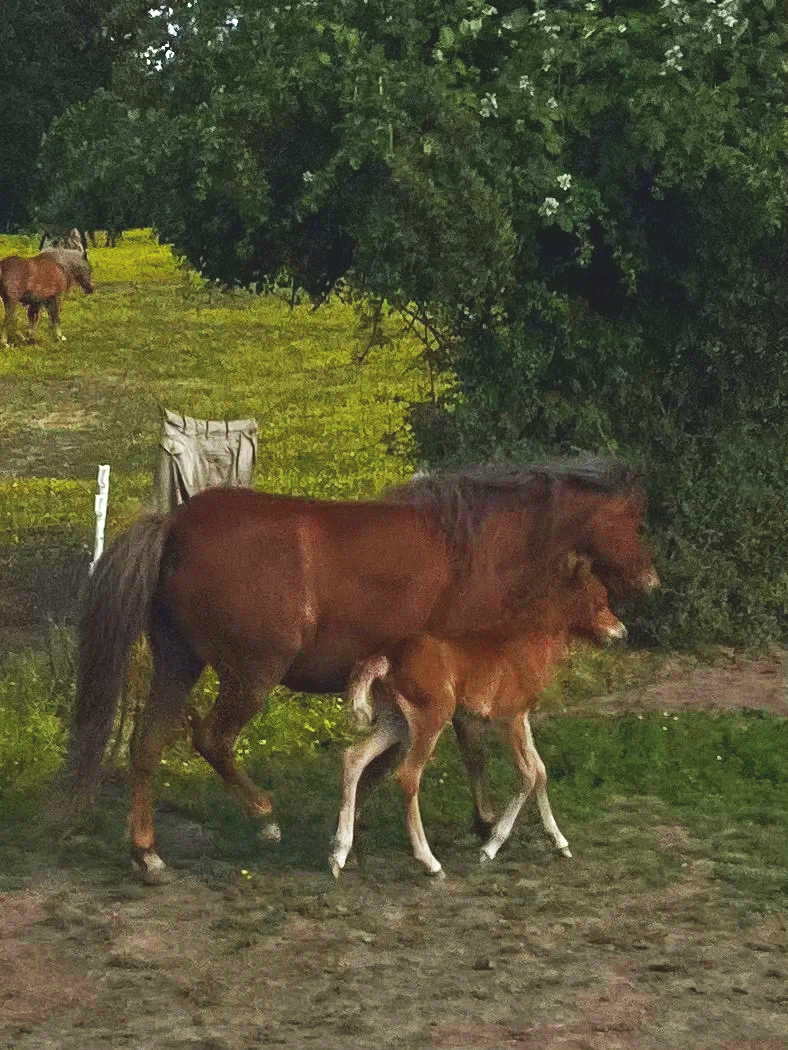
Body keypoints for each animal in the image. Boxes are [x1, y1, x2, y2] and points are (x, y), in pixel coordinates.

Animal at [330, 554, 627, 878]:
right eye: (600, 599)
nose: (621, 632)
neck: (527, 643)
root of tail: (385, 659)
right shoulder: (507, 718)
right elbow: (527, 773)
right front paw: (490, 847)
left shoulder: (522, 716)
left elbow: (541, 770)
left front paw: (560, 842)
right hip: (431, 718)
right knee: (407, 775)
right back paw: (430, 862)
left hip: (396, 722)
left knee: (353, 757)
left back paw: (338, 855)